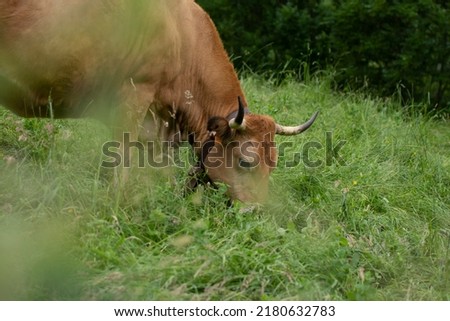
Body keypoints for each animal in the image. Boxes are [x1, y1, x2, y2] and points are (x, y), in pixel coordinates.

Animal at [0, 0, 316, 202]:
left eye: (273, 164)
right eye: (246, 161)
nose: (256, 212)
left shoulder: (158, 124)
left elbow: (161, 170)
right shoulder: (134, 95)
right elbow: (121, 157)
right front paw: (116, 204)